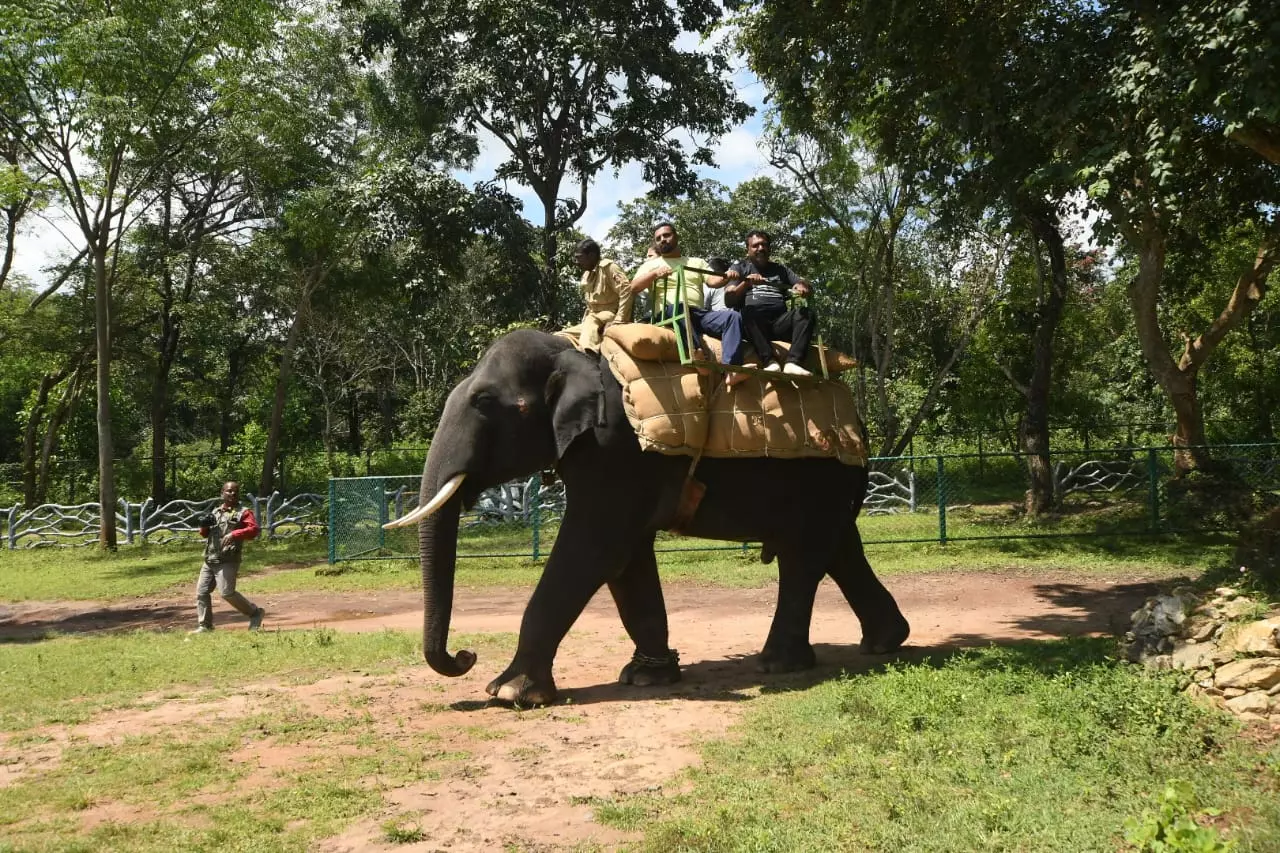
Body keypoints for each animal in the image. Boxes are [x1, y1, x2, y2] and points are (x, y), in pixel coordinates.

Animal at [384, 326, 906, 701]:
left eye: (485, 402)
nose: (465, 655)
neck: (571, 348)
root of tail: (857, 423)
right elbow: (626, 557)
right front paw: (645, 678)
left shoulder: (614, 447)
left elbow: (594, 546)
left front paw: (508, 692)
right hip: (829, 485)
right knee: (839, 549)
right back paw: (884, 642)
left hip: (820, 475)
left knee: (804, 557)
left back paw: (779, 664)